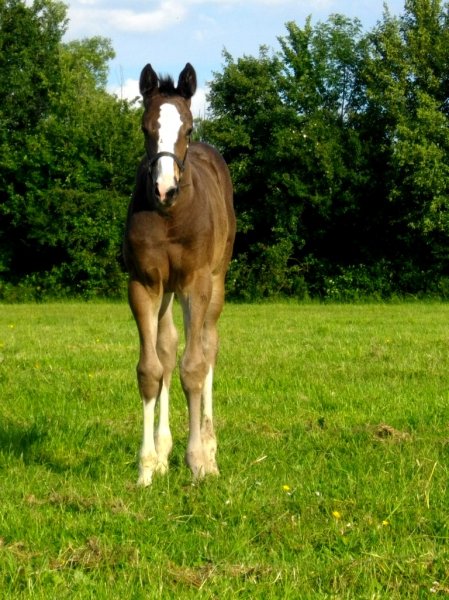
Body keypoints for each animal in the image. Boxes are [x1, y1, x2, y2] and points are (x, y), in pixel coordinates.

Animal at [122, 63, 234, 486]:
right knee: (169, 347)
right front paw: (147, 466)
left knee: (208, 346)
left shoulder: (196, 283)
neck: (171, 217)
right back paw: (164, 450)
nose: (164, 189)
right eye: (145, 128)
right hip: (167, 291)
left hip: (216, 283)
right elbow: (151, 368)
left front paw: (198, 460)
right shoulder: (143, 284)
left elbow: (194, 367)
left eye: (188, 128)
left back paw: (211, 449)